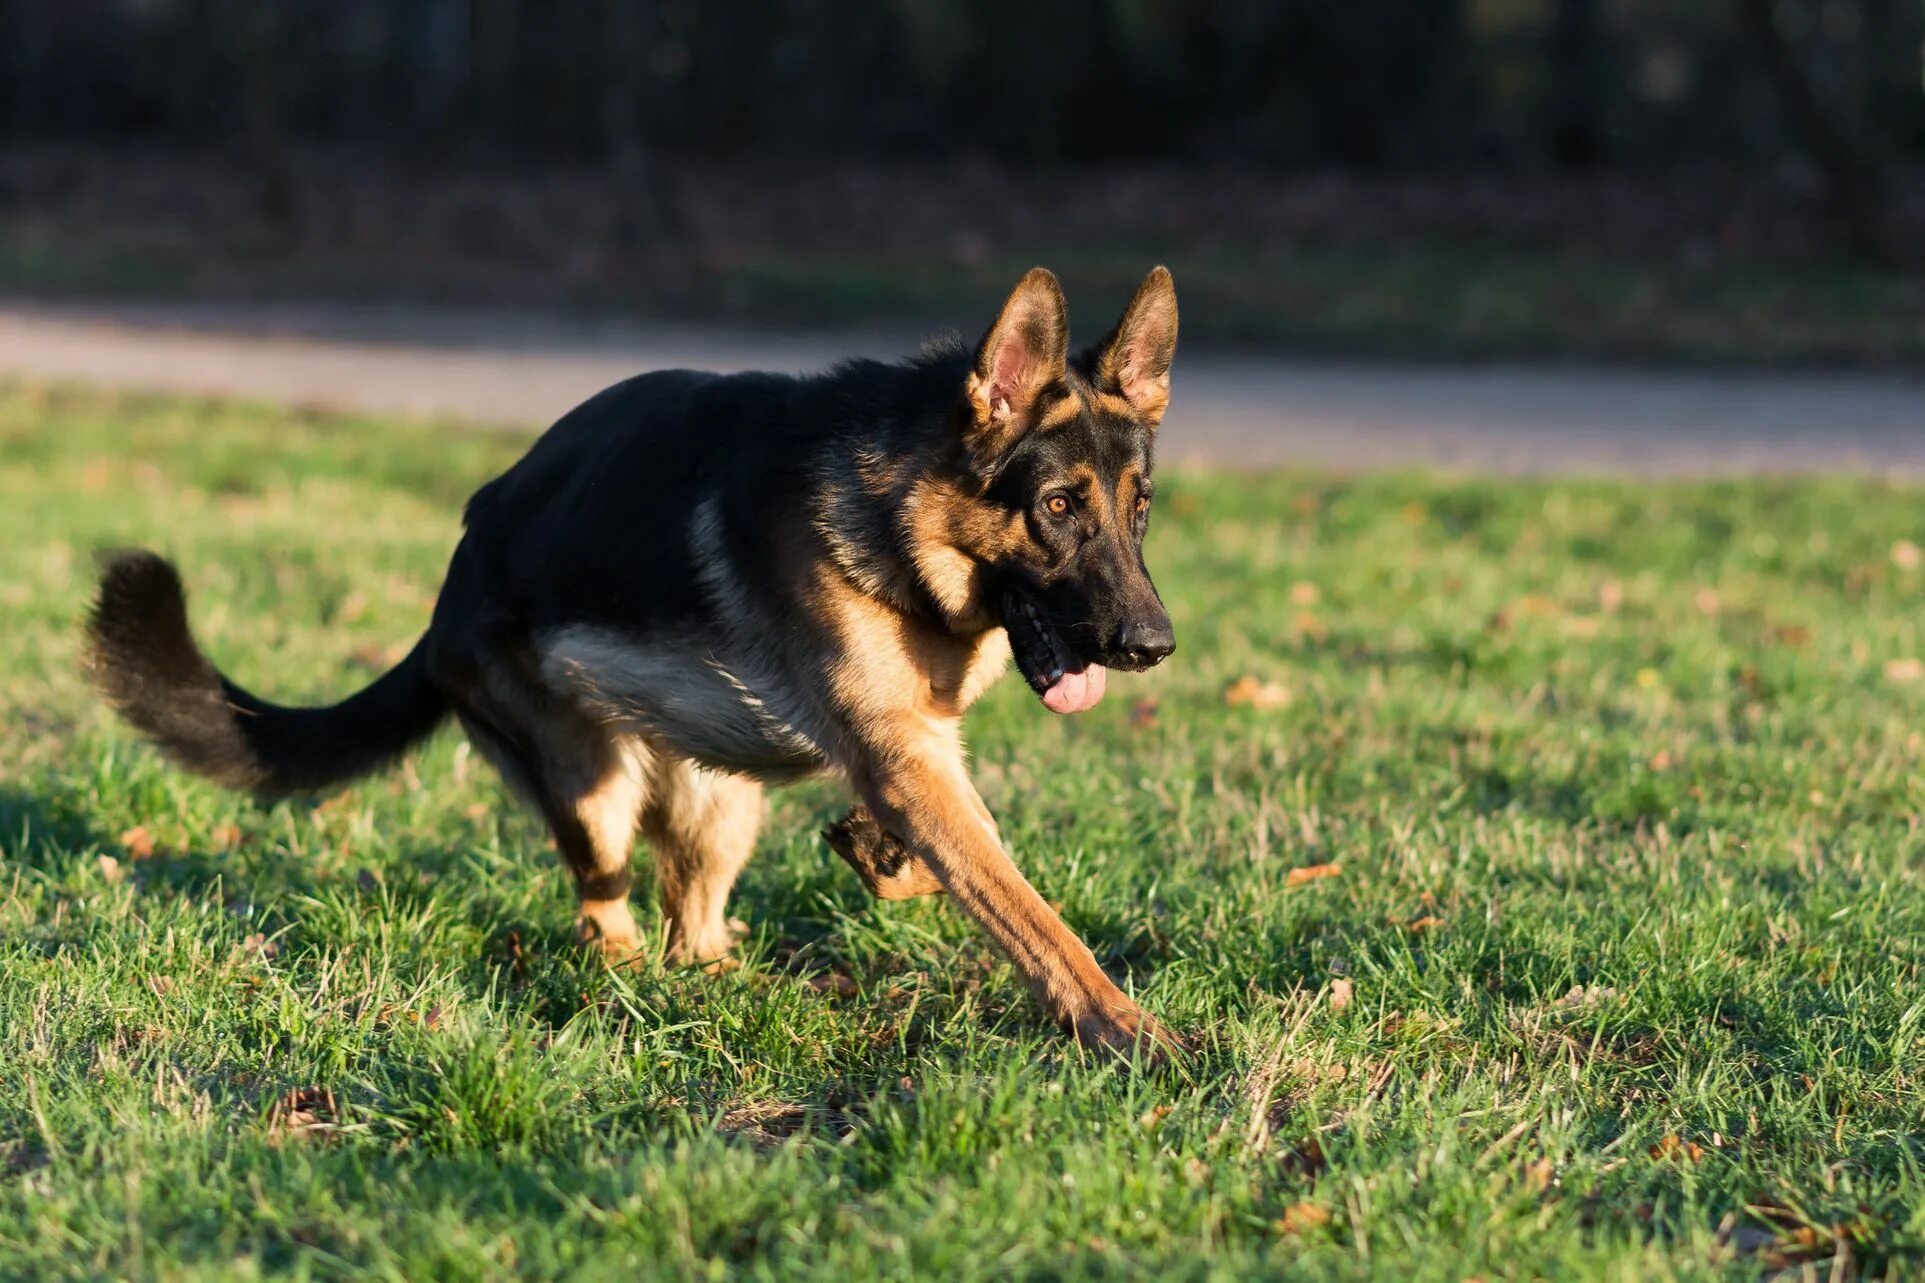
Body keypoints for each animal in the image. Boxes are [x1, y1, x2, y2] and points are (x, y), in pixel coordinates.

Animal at [86, 263, 1185, 1055]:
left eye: (1137, 510)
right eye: (1056, 507)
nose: (1151, 644)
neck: (904, 511)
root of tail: (447, 595)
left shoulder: (913, 753)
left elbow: (960, 853)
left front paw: (877, 853)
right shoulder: (900, 758)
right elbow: (1026, 909)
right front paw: (1124, 1028)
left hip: (720, 806)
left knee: (689, 927)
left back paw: (727, 976)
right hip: (594, 791)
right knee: (605, 921)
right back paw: (629, 987)